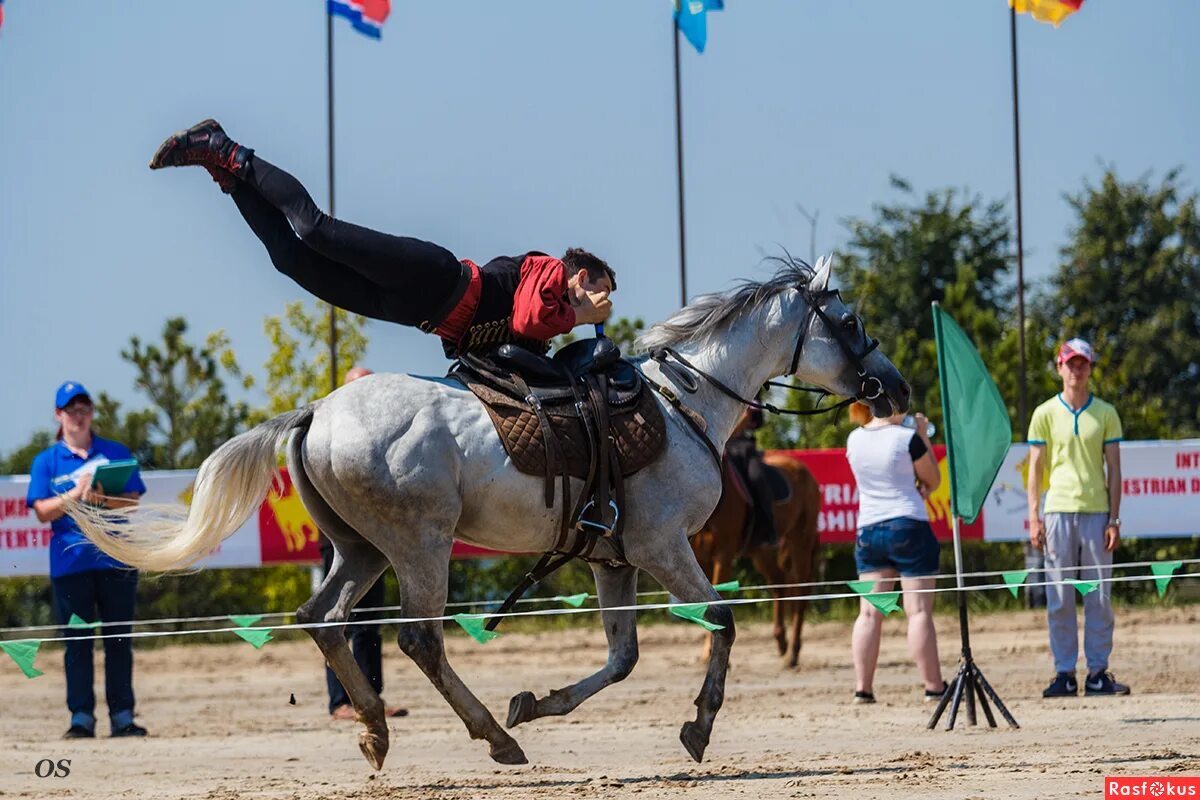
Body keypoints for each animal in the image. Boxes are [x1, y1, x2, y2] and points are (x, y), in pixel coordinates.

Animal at [691, 450, 820, 671]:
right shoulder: (701, 558)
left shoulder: (723, 556)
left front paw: (713, 655)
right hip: (760, 551)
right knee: (778, 580)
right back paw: (781, 642)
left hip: (800, 541)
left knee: (801, 590)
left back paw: (792, 653)